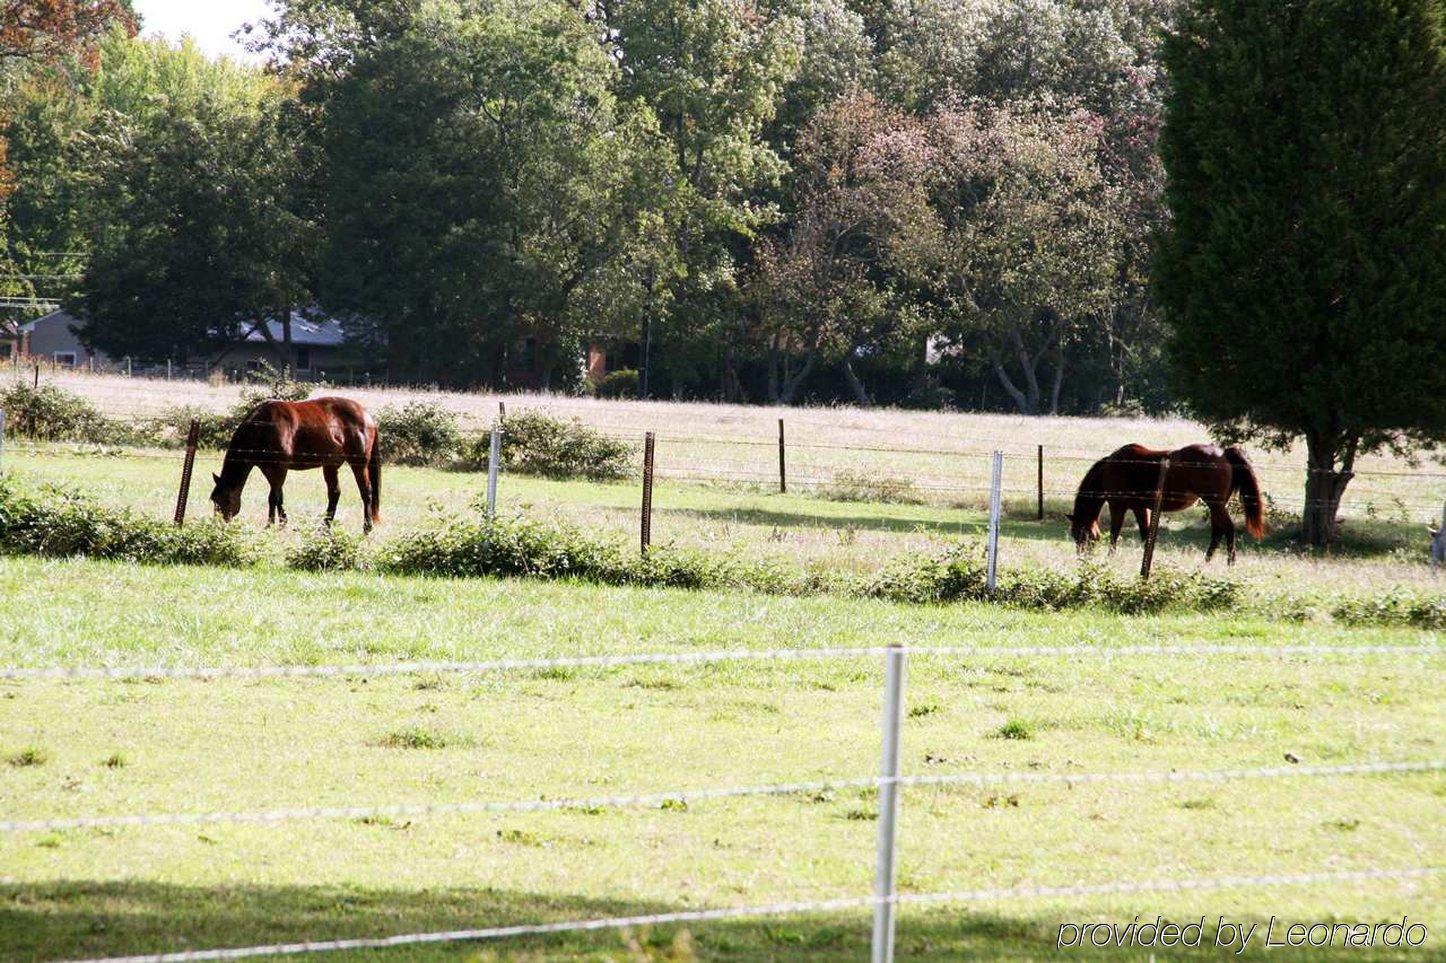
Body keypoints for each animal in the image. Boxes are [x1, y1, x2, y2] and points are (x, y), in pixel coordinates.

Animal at [211, 396, 381, 532]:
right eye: (214, 500)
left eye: (221, 500)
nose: (216, 525)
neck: (264, 428)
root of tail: (367, 416)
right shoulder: (269, 469)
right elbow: (279, 496)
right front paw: (282, 523)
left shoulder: (280, 468)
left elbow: (272, 497)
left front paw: (269, 525)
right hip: (330, 465)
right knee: (334, 493)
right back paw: (325, 527)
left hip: (358, 463)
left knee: (366, 491)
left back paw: (367, 528)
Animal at [1070, 442, 1260, 563]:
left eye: (1079, 533)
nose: (1081, 557)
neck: (1112, 468)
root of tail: (1223, 453)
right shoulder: (1141, 508)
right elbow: (1145, 534)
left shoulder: (1118, 506)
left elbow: (1114, 533)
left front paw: (1110, 558)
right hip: (1217, 506)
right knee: (1218, 531)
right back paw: (1206, 561)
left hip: (1215, 504)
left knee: (1228, 529)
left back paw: (1230, 563)